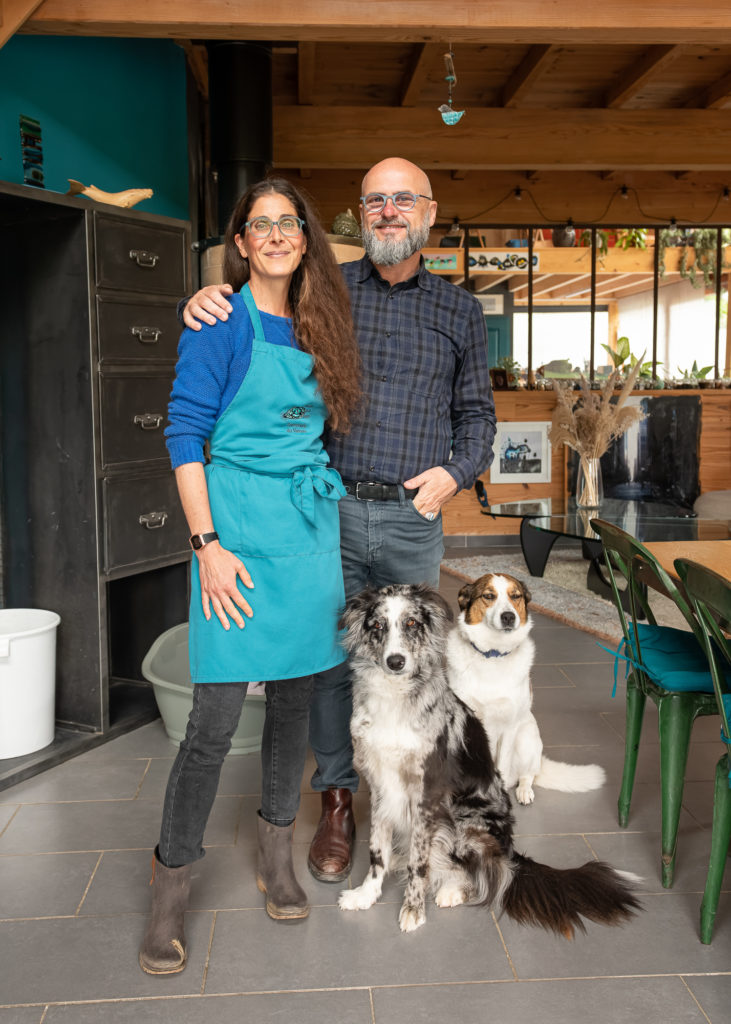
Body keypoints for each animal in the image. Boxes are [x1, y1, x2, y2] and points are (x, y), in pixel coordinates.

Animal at [444, 573, 602, 802]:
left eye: (515, 596)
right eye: (488, 596)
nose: (509, 617)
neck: (492, 655)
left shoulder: (509, 727)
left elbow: (502, 765)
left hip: (526, 738)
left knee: (527, 775)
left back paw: (524, 791)